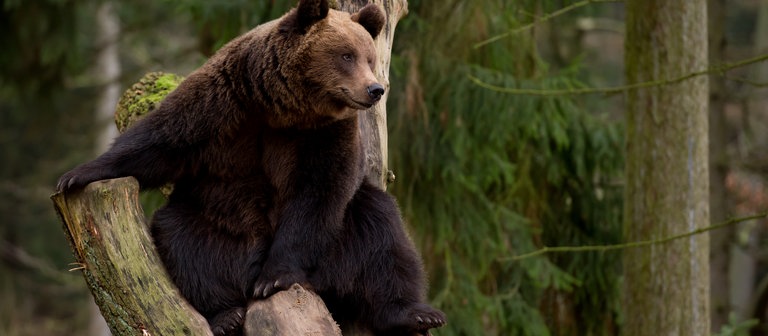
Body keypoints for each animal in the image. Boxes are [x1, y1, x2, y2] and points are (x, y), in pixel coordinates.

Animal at [57, 0, 448, 336]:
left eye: (369, 57)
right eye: (346, 55)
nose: (375, 89)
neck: (282, 108)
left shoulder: (325, 135)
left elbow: (318, 193)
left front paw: (274, 276)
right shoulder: (223, 102)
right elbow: (160, 142)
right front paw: (76, 174)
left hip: (340, 241)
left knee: (384, 238)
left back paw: (415, 312)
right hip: (217, 224)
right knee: (183, 241)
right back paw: (225, 314)